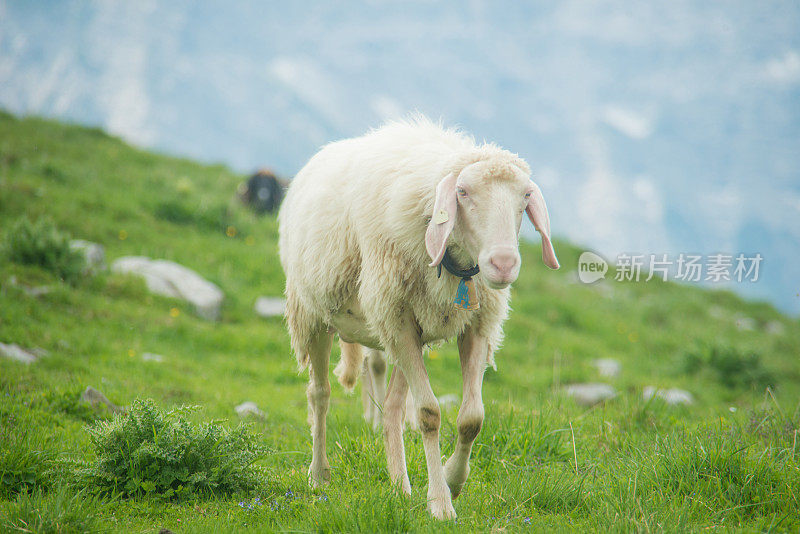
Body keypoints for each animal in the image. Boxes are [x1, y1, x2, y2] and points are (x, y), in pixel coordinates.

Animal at [278, 116, 560, 520]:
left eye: (525, 197)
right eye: (462, 192)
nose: (503, 263)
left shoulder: (475, 325)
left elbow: (472, 418)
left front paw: (453, 481)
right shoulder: (397, 319)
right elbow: (428, 414)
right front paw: (440, 503)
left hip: (404, 330)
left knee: (393, 409)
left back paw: (400, 484)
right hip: (316, 314)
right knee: (320, 394)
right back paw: (319, 475)